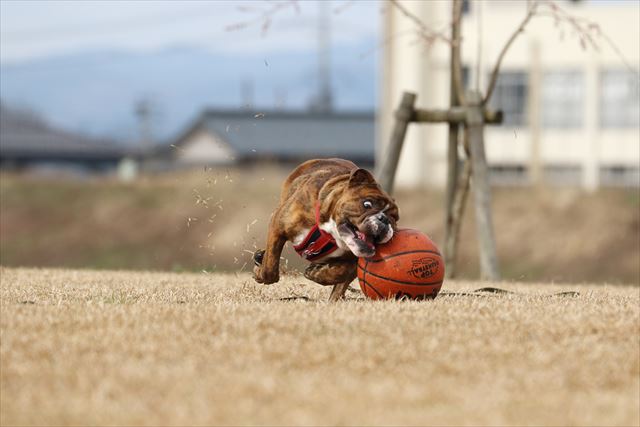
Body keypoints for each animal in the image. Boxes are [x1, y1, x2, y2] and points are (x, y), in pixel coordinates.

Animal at [252, 159, 398, 302]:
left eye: (395, 218)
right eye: (367, 204)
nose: (384, 219)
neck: (330, 232)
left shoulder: (355, 261)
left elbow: (341, 272)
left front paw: (317, 273)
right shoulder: (278, 226)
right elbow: (270, 269)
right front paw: (260, 272)